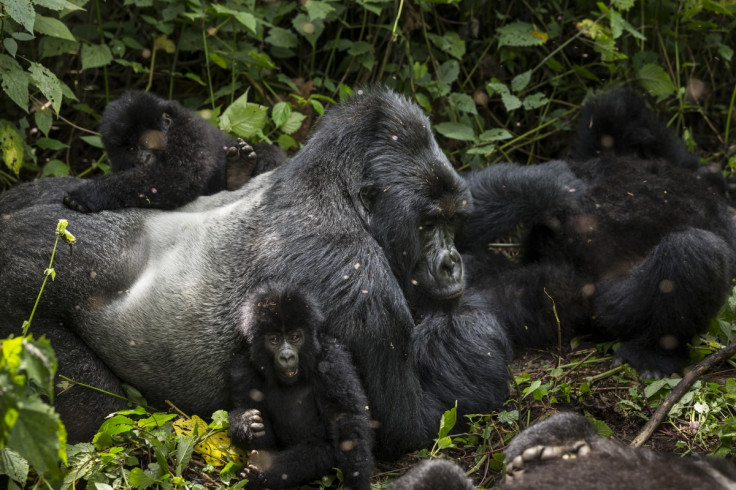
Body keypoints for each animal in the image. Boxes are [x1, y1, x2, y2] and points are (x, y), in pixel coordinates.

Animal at [63, 91, 288, 213]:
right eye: (131, 149)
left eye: (146, 141)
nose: (143, 158)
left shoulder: (188, 132)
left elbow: (180, 176)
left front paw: (87, 194)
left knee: (271, 155)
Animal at [227, 286, 374, 488]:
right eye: (274, 340)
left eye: (294, 337)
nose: (287, 356)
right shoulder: (243, 368)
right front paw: (245, 424)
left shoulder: (331, 360)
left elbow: (346, 420)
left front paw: (356, 480)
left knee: (319, 452)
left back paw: (261, 474)